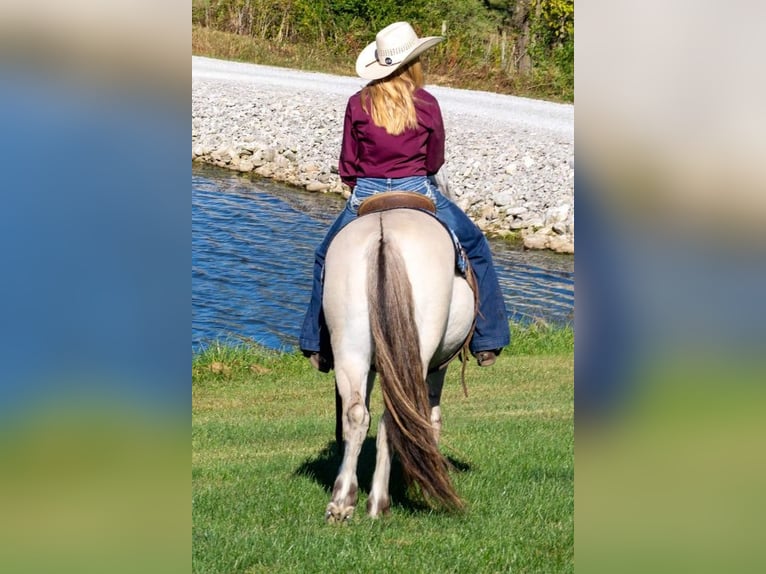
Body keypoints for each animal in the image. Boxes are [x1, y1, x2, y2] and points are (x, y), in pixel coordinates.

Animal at [320, 191, 476, 524]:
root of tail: (383, 235)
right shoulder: (437, 368)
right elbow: (431, 418)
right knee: (396, 417)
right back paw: (378, 502)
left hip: (350, 349)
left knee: (357, 414)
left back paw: (342, 501)